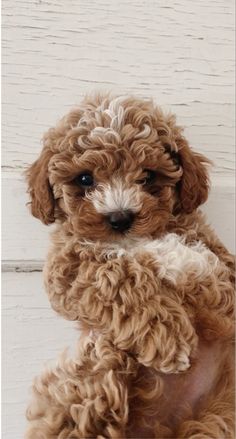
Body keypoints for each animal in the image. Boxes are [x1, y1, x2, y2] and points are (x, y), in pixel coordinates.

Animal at [25, 94, 234, 438]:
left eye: (148, 176)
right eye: (85, 179)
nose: (120, 218)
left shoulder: (227, 281)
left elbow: (202, 267)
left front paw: (168, 253)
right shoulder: (65, 267)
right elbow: (109, 272)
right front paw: (169, 339)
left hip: (217, 418)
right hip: (94, 368)